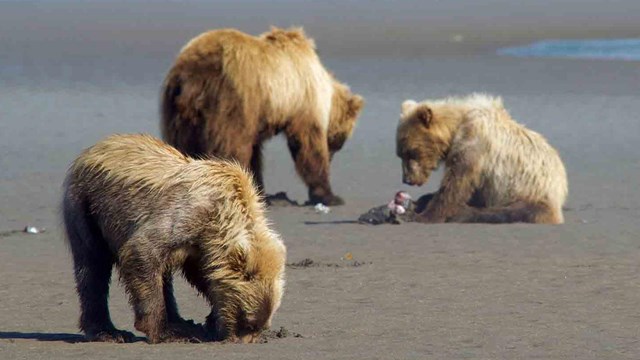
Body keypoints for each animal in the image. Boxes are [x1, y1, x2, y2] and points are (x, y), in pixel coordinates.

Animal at [63, 133, 288, 344]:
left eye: (260, 326)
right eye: (248, 322)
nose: (240, 340)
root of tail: (92, 149)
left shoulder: (202, 247)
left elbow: (202, 276)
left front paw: (210, 322)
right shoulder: (188, 214)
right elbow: (142, 250)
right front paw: (162, 331)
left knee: (163, 274)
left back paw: (181, 323)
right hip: (87, 205)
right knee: (93, 265)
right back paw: (109, 332)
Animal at [160, 26, 362, 205]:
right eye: (339, 142)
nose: (332, 156)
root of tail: (190, 77)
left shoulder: (258, 117)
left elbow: (255, 153)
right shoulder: (302, 101)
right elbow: (307, 146)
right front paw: (330, 195)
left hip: (179, 111)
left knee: (182, 146)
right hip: (229, 101)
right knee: (231, 149)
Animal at [398, 93, 568, 222]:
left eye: (410, 153)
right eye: (400, 154)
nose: (407, 179)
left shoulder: (474, 143)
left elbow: (456, 183)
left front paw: (421, 215)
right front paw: (420, 202)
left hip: (530, 193)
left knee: (510, 212)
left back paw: (463, 213)